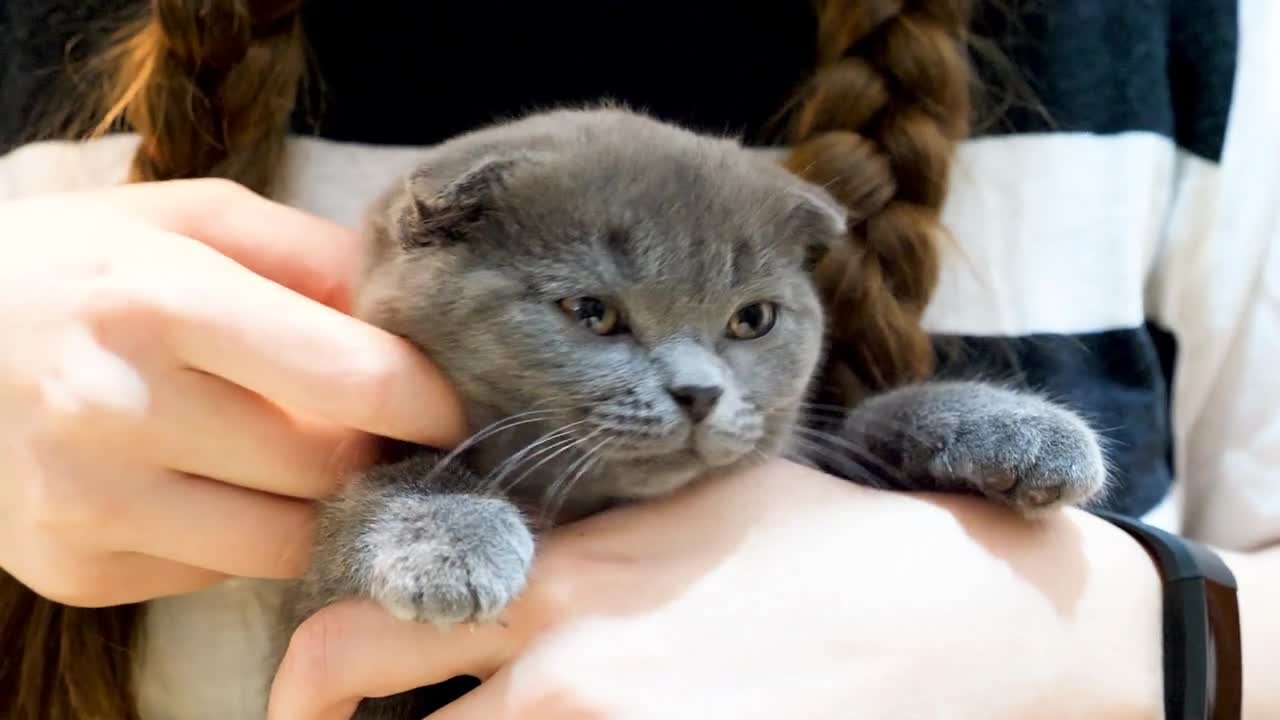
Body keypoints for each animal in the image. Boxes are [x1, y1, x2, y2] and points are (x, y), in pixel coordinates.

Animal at [272, 106, 1111, 717]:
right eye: (593, 313)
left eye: (752, 320)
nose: (700, 391)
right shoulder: (315, 627)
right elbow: (378, 492)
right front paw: (450, 537)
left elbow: (863, 424)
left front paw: (1024, 432)